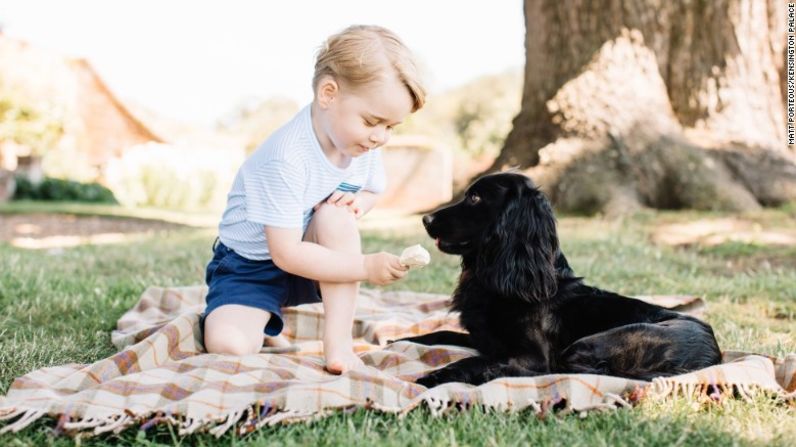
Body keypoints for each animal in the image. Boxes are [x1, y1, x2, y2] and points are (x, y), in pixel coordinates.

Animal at [402, 172, 720, 388]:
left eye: (475, 198)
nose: (426, 219)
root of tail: (712, 357)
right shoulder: (484, 338)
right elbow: (438, 334)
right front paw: (399, 340)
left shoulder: (532, 355)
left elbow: (477, 359)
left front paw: (435, 377)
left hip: (591, 344)